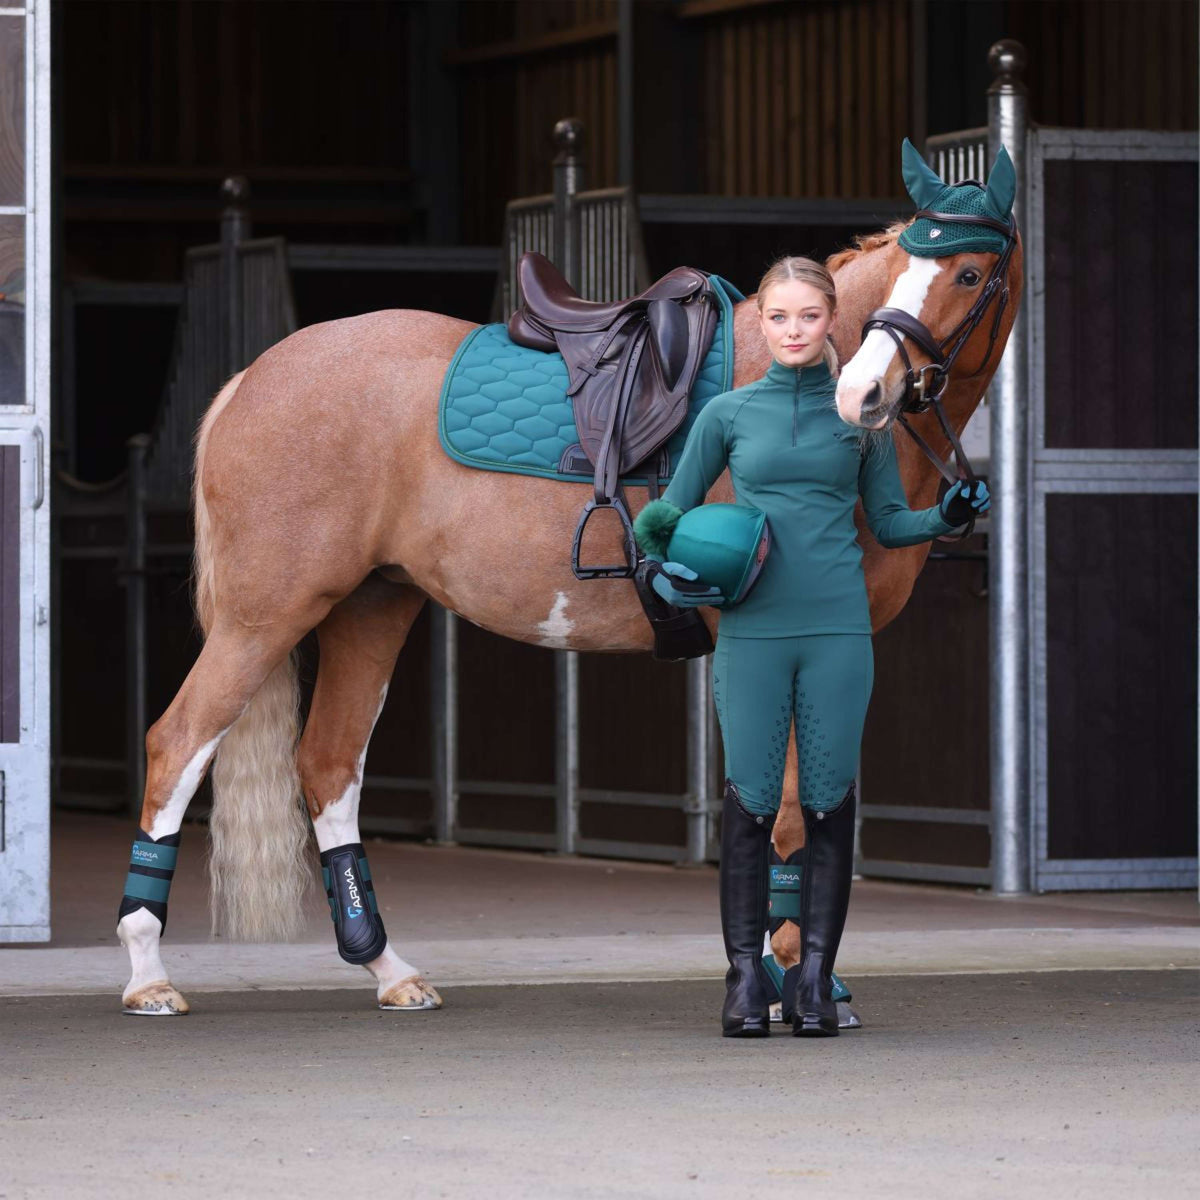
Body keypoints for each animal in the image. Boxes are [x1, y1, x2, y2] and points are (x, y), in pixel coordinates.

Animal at [117, 223, 1022, 1012]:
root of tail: (251, 379)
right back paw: (148, 975)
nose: (865, 395)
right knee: (178, 744)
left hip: (371, 607)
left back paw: (389, 970)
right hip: (265, 615)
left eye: (969, 272)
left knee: (330, 764)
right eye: (926, 267)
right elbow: (789, 804)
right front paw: (786, 977)